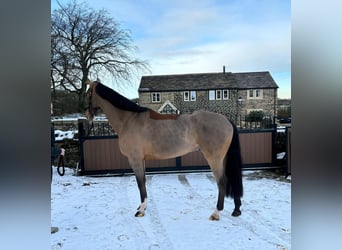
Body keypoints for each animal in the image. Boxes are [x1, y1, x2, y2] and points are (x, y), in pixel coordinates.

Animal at [85, 80, 243, 221]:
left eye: (88, 93)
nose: (86, 114)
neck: (129, 119)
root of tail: (226, 120)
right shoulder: (141, 160)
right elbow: (143, 182)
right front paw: (142, 207)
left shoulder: (135, 159)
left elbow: (140, 183)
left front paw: (141, 210)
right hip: (223, 158)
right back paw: (236, 210)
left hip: (214, 159)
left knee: (222, 181)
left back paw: (216, 213)